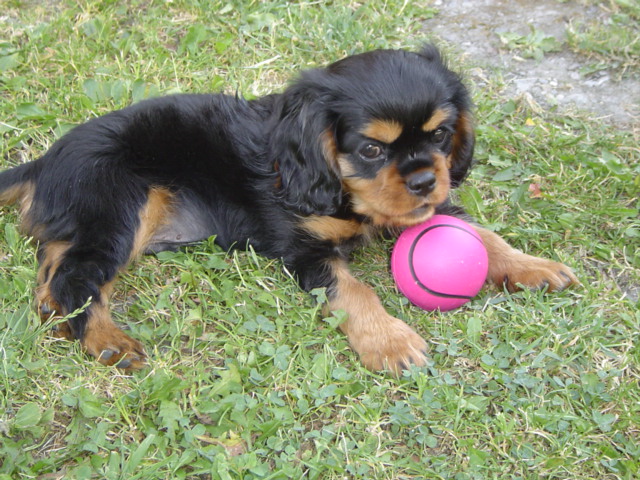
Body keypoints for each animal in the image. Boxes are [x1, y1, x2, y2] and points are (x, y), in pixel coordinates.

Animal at [0, 46, 580, 376]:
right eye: (372, 149)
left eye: (440, 134)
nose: (423, 180)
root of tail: (46, 160)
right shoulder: (304, 247)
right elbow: (355, 290)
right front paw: (390, 341)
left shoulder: (431, 208)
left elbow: (480, 234)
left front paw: (531, 266)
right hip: (123, 204)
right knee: (77, 276)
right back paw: (107, 341)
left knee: (56, 260)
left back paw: (58, 312)